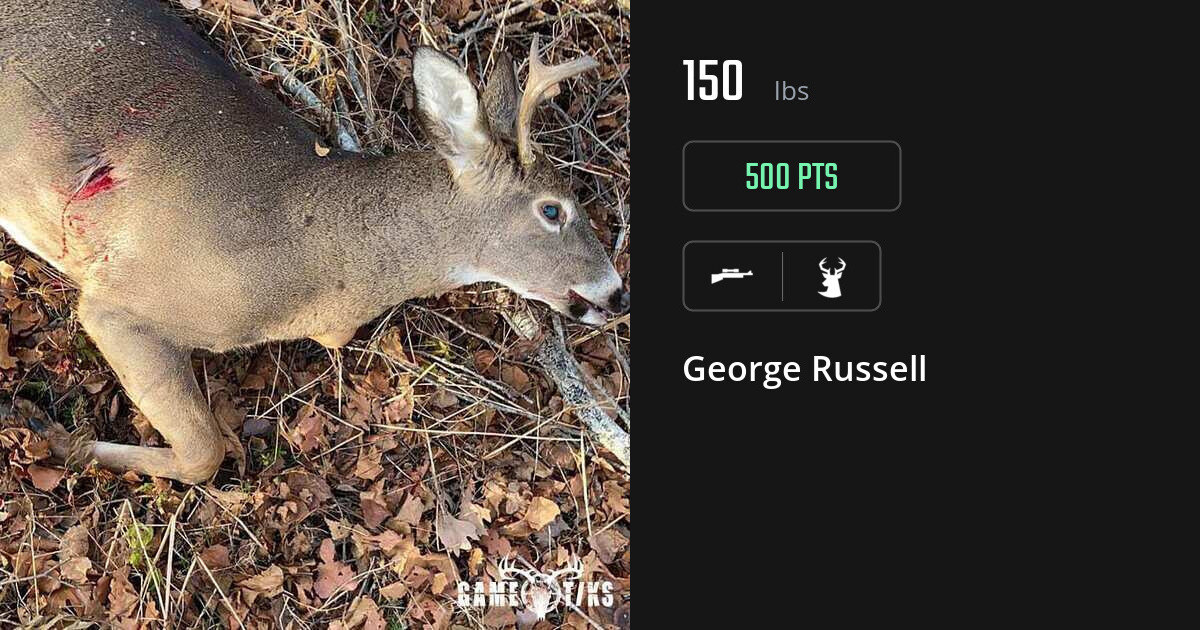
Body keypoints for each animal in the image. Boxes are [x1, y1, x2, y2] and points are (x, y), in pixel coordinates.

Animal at [0, 0, 627, 483]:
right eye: (553, 209)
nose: (617, 292)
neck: (321, 260)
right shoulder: (120, 299)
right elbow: (205, 452)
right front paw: (51, 433)